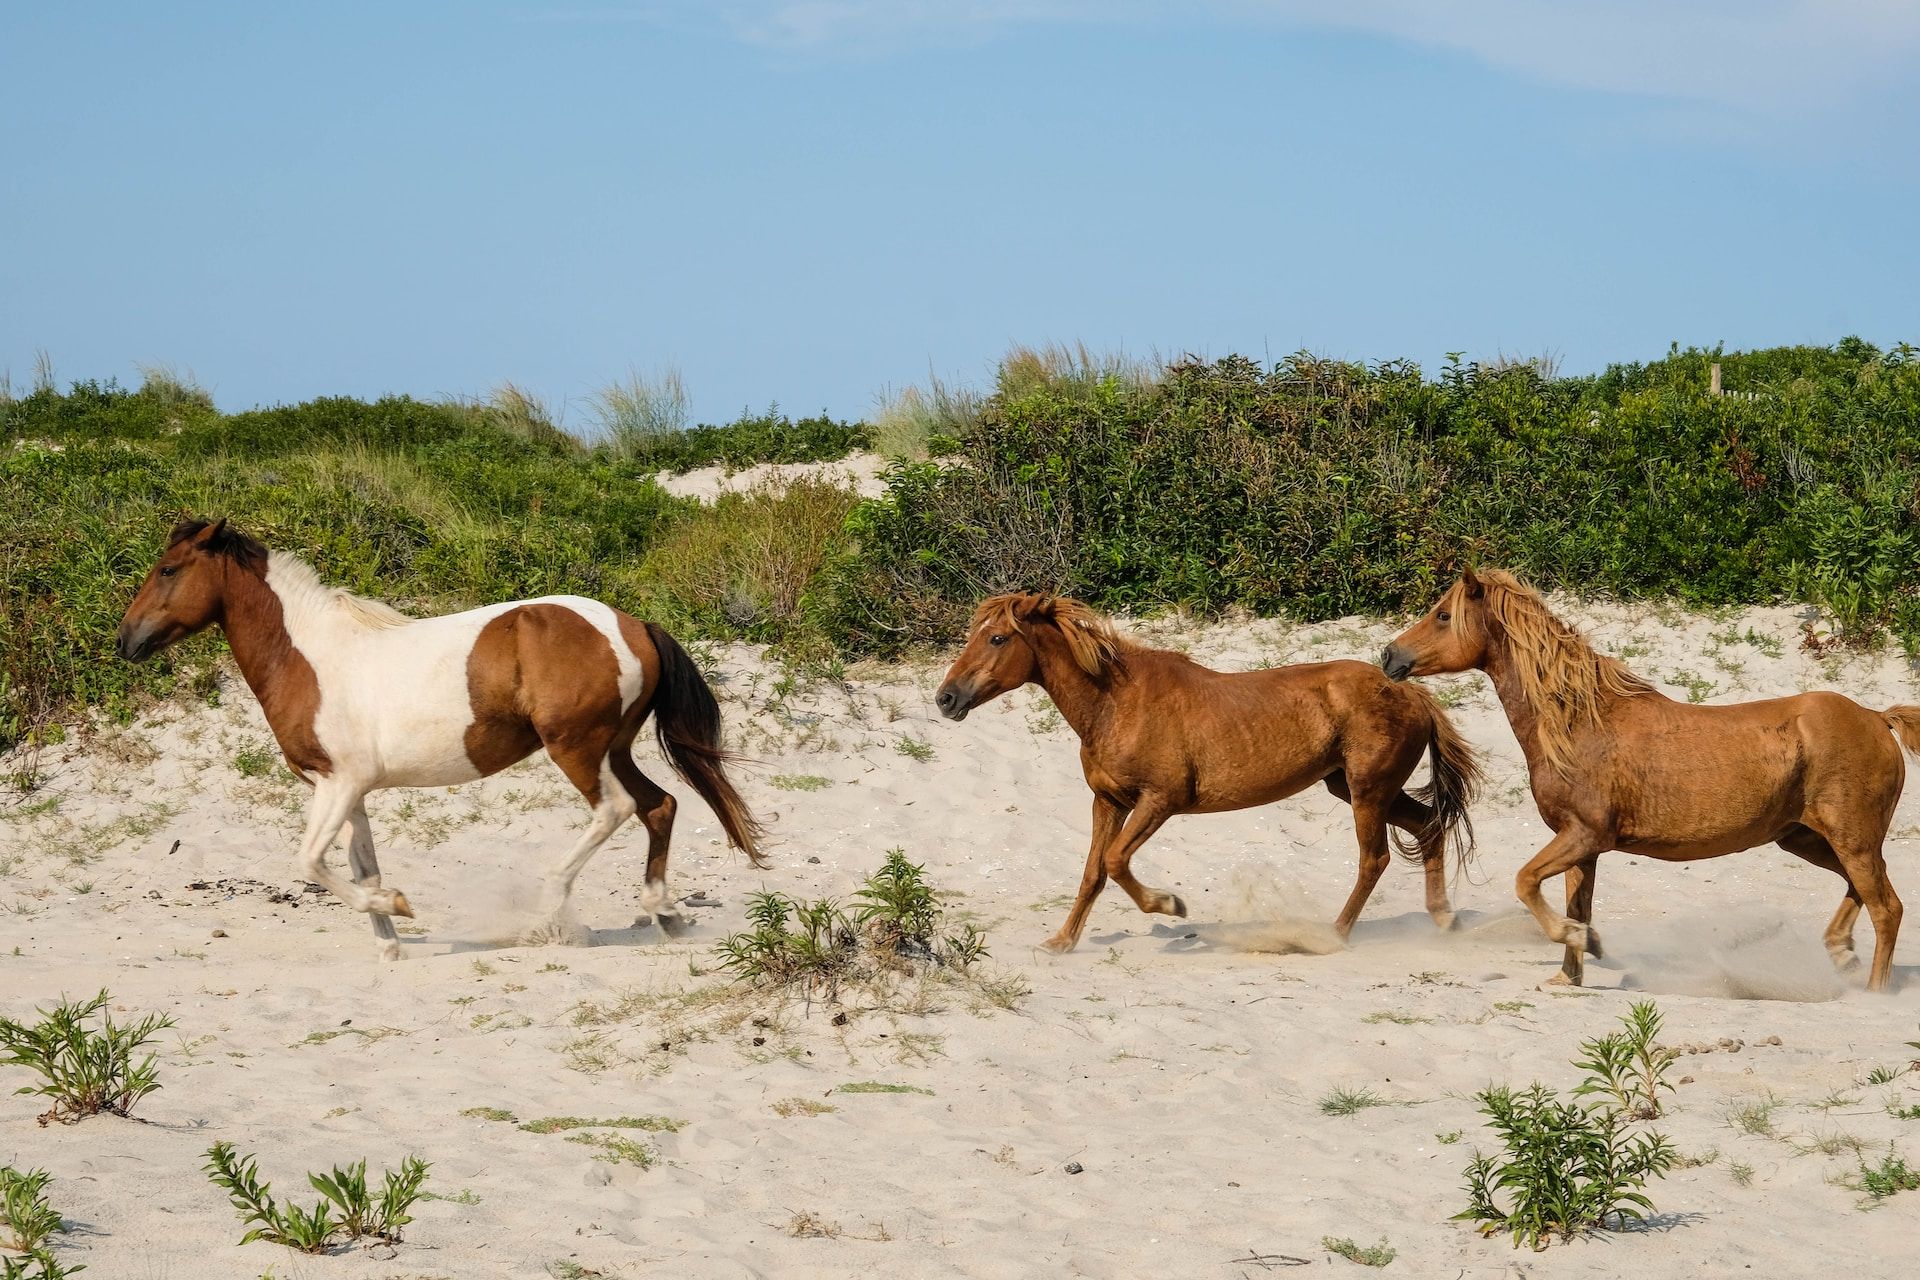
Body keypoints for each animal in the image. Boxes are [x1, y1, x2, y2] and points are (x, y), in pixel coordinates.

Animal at [116, 521, 764, 959]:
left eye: (168, 569)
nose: (126, 641)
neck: (309, 657)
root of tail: (633, 626)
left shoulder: (338, 784)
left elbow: (311, 862)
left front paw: (396, 908)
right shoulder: (349, 791)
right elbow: (362, 867)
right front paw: (390, 946)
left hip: (575, 748)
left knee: (618, 809)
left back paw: (549, 914)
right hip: (614, 747)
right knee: (661, 805)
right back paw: (665, 914)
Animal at [933, 591, 1482, 951]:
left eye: (997, 638)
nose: (946, 699)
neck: (1115, 704)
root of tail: (1411, 692)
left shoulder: (1160, 801)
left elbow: (1115, 862)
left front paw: (1171, 905)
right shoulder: (1107, 801)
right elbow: (1093, 872)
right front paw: (1061, 942)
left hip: (1368, 791)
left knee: (1375, 859)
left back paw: (1334, 935)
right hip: (1354, 788)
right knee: (1429, 827)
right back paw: (1443, 920)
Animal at [1390, 568, 1912, 990]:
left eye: (1443, 615)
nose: (1390, 655)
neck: (1580, 723)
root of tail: (1876, 717)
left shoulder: (1585, 834)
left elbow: (1525, 882)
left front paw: (1584, 942)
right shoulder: (1582, 846)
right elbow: (1575, 904)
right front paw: (1569, 973)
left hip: (1852, 840)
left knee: (1888, 908)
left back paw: (1873, 991)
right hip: (1807, 839)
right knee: (1861, 891)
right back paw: (1841, 952)